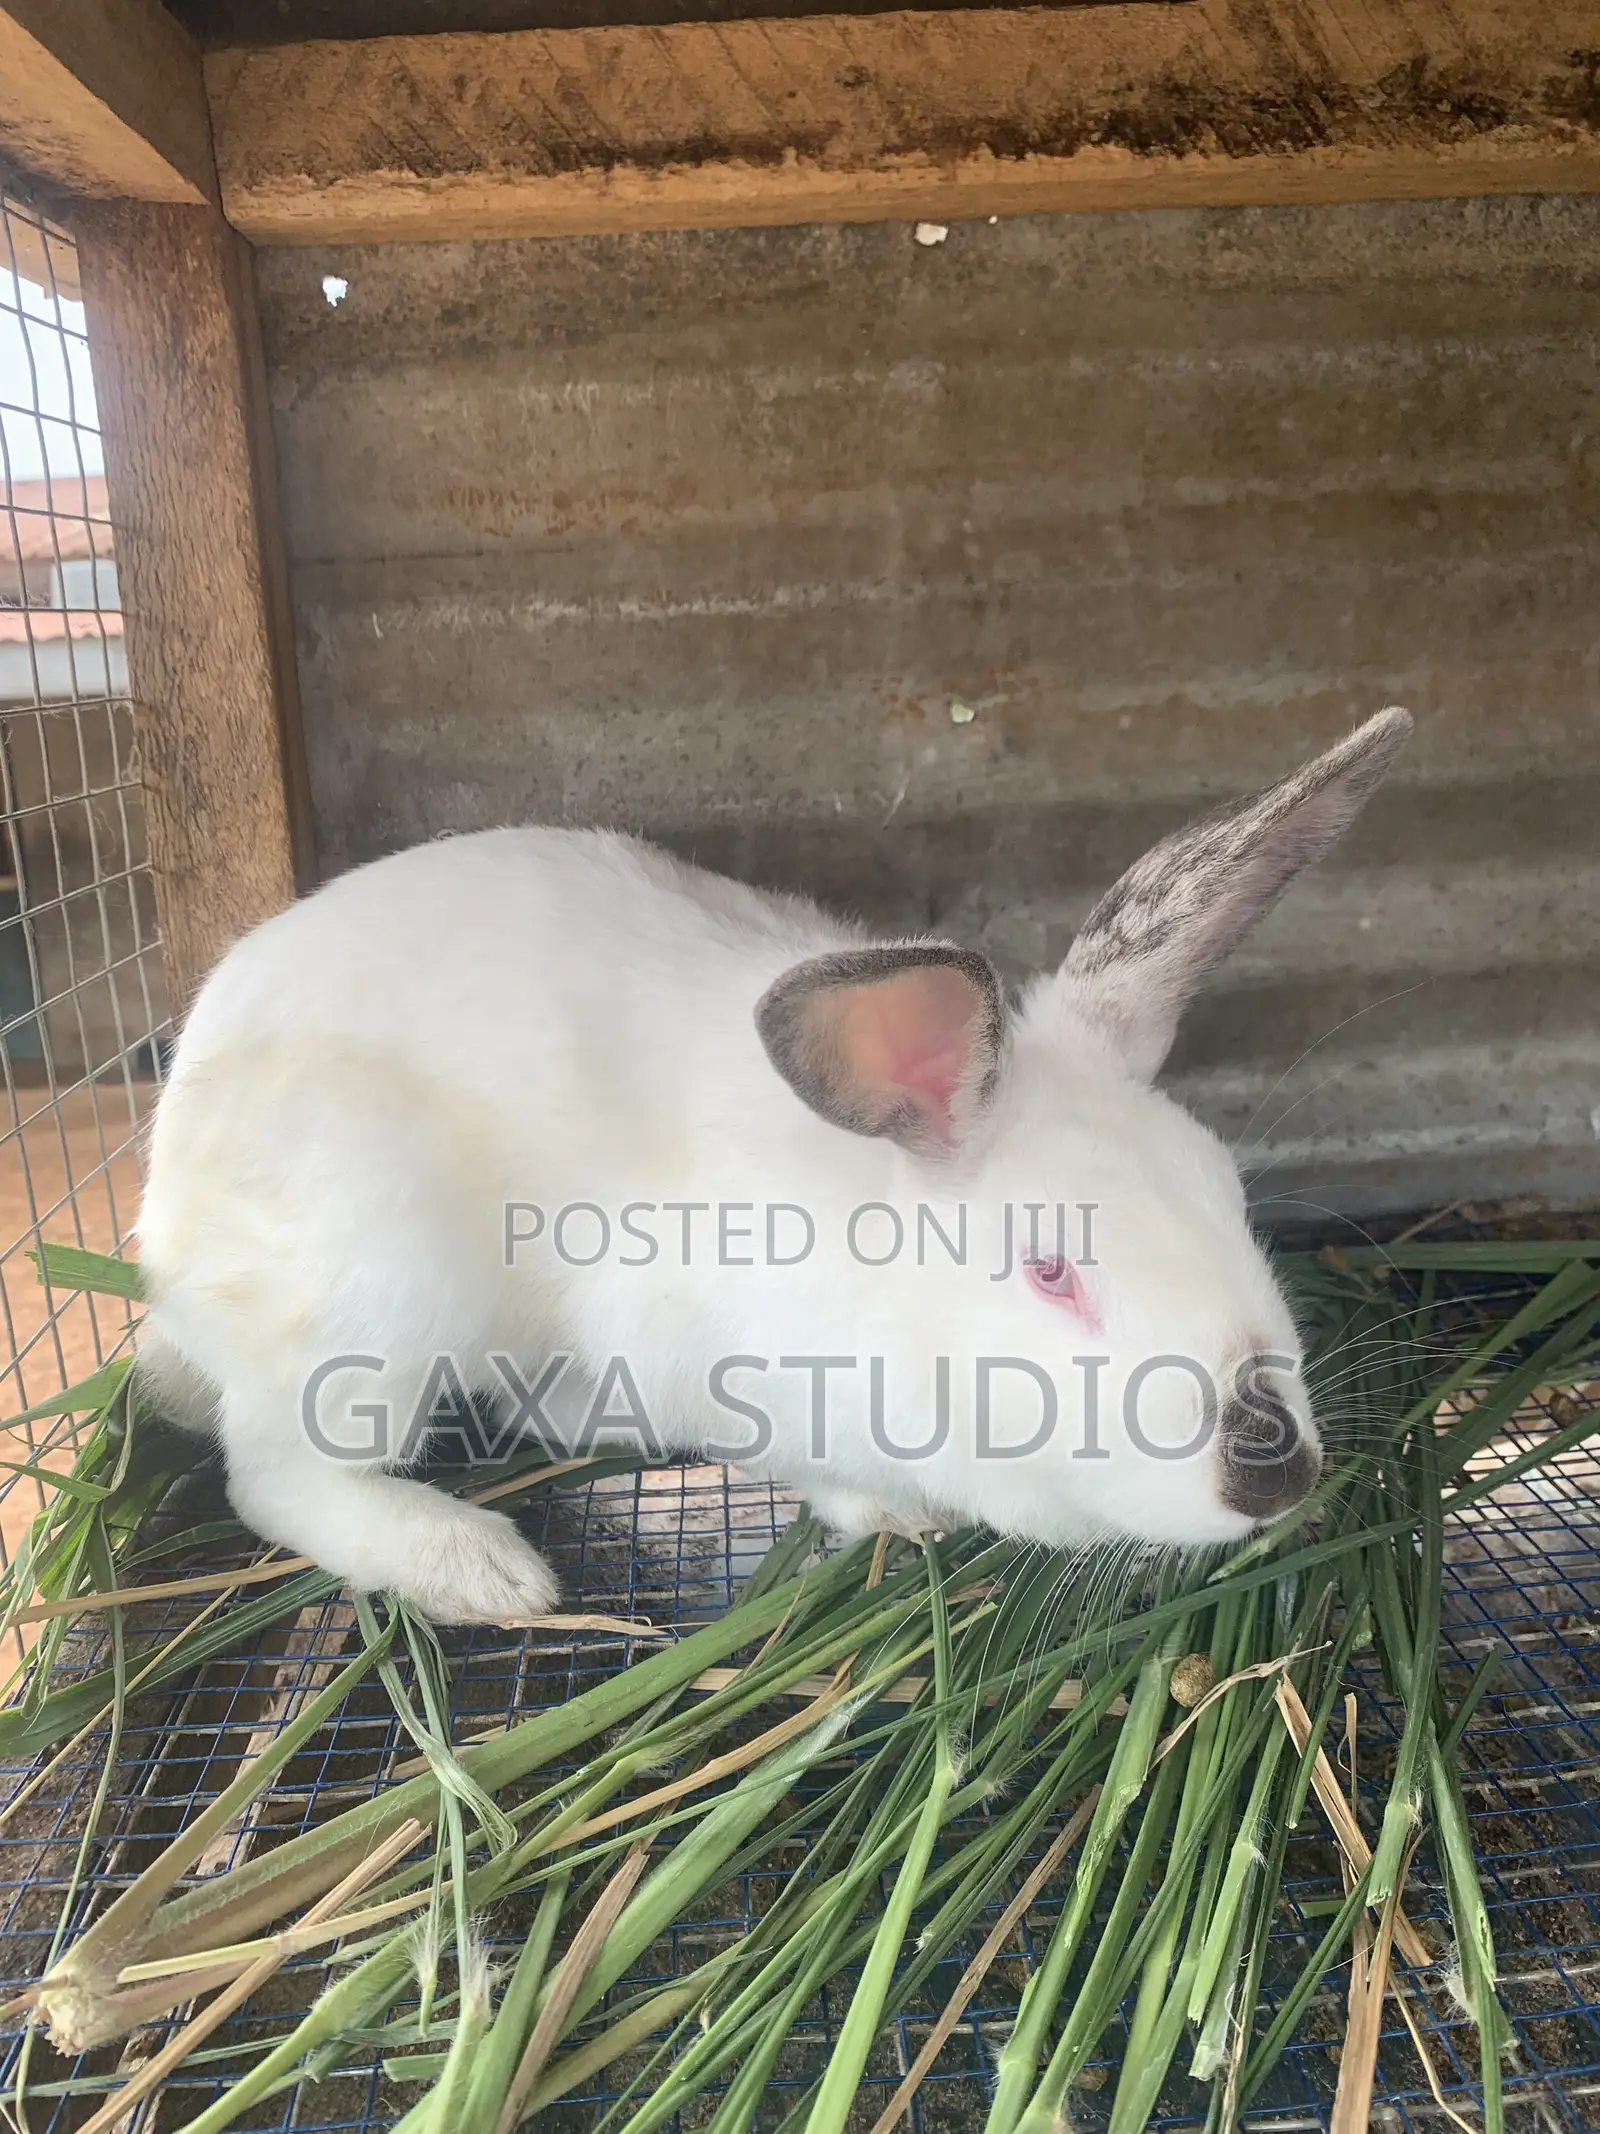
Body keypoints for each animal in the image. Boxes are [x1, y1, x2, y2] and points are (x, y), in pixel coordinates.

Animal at [135, 707, 1411, 1623]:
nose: (1273, 1474)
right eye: (1050, 1271)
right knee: (275, 1474)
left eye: (1229, 1199)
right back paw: (479, 1569)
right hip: (370, 1295)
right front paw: (898, 1521)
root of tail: (166, 1238)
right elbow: (820, 1470)